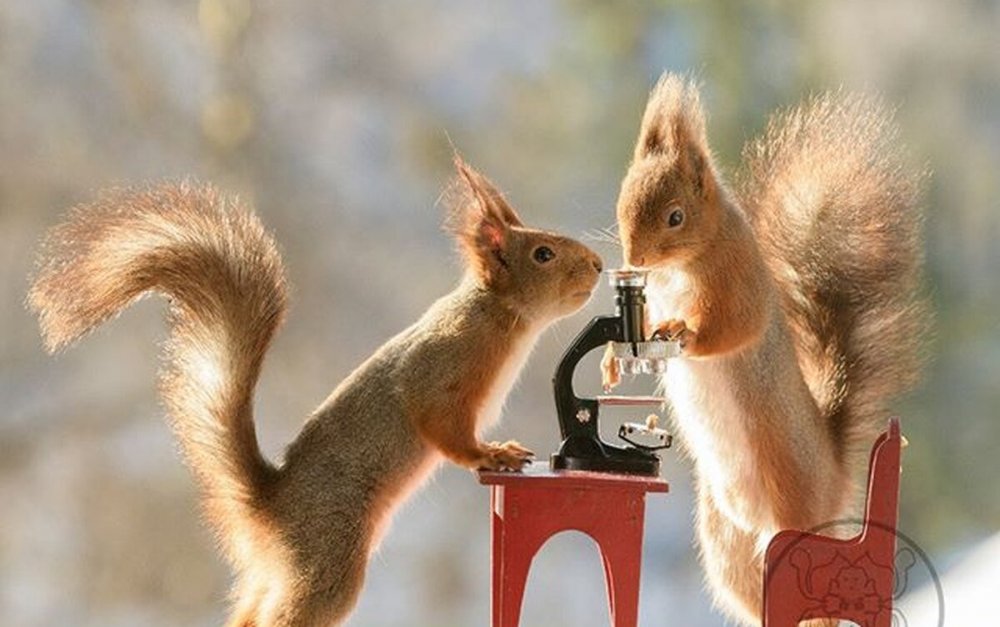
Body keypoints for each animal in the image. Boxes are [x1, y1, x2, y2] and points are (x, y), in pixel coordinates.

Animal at [31, 158, 604, 627]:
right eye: (544, 253)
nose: (599, 264)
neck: (496, 314)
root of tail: (268, 509)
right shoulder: (441, 370)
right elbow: (444, 428)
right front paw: (494, 453)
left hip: (275, 574)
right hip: (328, 559)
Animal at [604, 75, 932, 627]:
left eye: (675, 216)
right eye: (622, 201)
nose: (635, 259)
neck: (692, 255)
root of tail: (834, 477)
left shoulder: (739, 282)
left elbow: (733, 328)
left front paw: (681, 331)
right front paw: (612, 355)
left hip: (792, 507)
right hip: (727, 544)